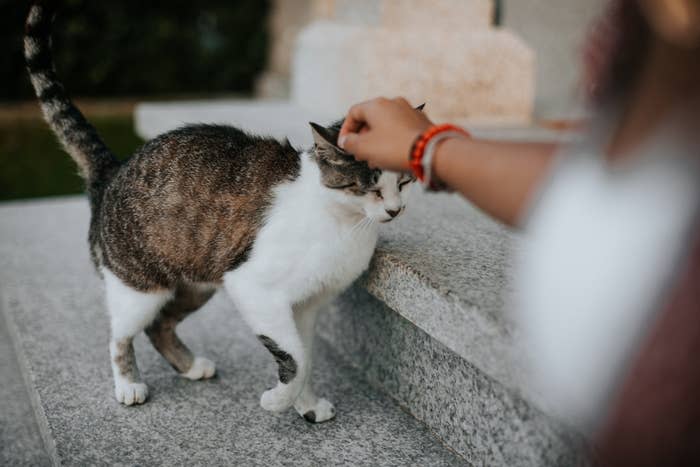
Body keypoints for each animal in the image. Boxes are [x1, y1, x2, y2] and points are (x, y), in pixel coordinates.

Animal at [26, 0, 416, 424]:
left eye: (404, 182)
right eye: (371, 187)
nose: (395, 210)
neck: (342, 223)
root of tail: (114, 168)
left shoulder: (307, 305)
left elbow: (307, 358)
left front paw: (307, 405)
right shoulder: (255, 287)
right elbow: (294, 358)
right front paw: (278, 401)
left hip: (198, 283)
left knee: (159, 326)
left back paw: (190, 365)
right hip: (139, 285)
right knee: (121, 332)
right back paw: (128, 384)